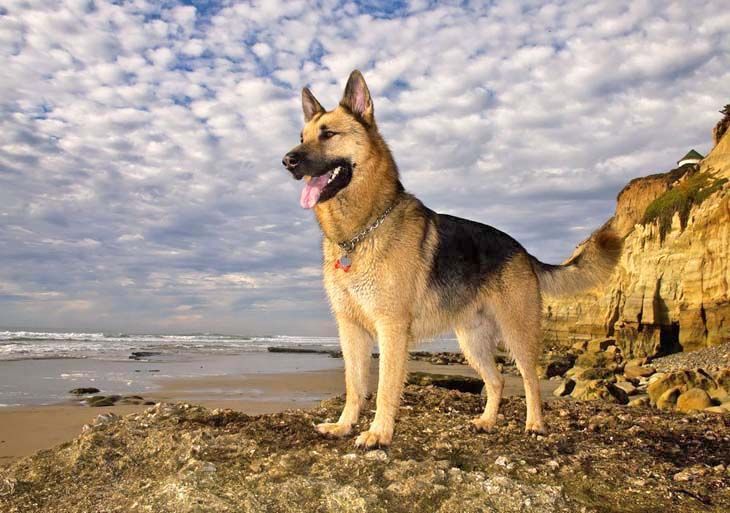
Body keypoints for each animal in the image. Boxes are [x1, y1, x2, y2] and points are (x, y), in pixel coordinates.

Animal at [282, 70, 616, 446]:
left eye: (329, 134)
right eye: (302, 137)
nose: (287, 160)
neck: (360, 231)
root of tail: (523, 251)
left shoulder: (391, 329)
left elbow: (384, 389)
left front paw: (379, 432)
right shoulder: (350, 329)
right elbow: (354, 385)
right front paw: (344, 425)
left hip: (518, 334)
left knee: (530, 380)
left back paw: (535, 424)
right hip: (472, 341)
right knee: (497, 380)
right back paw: (487, 421)